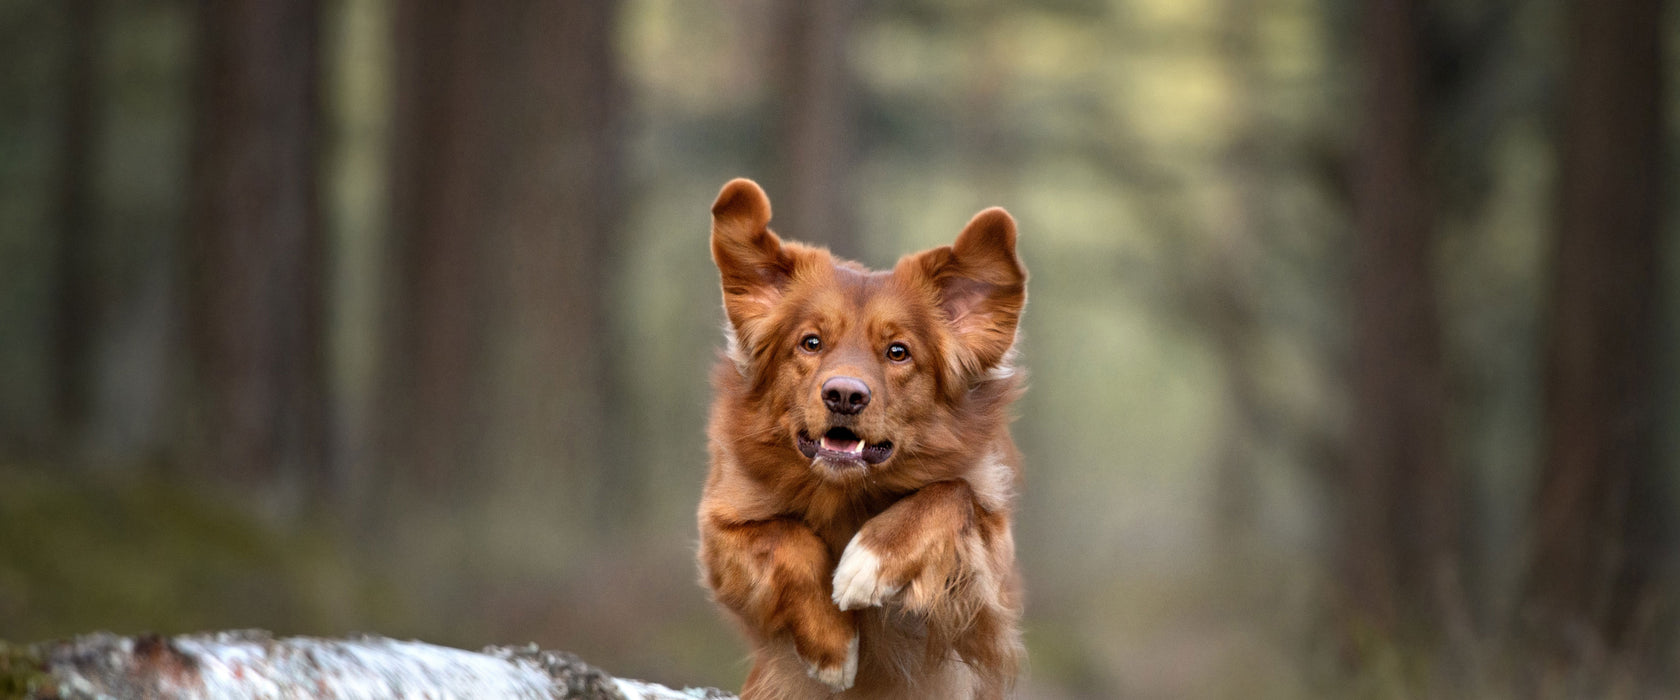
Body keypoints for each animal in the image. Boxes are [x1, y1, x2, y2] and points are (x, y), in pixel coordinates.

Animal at [692, 179, 1021, 698]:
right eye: (810, 342)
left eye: (898, 352)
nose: (844, 395)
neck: (845, 493)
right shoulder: (720, 528)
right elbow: (787, 538)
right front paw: (834, 647)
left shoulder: (988, 602)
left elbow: (952, 493)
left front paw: (870, 560)